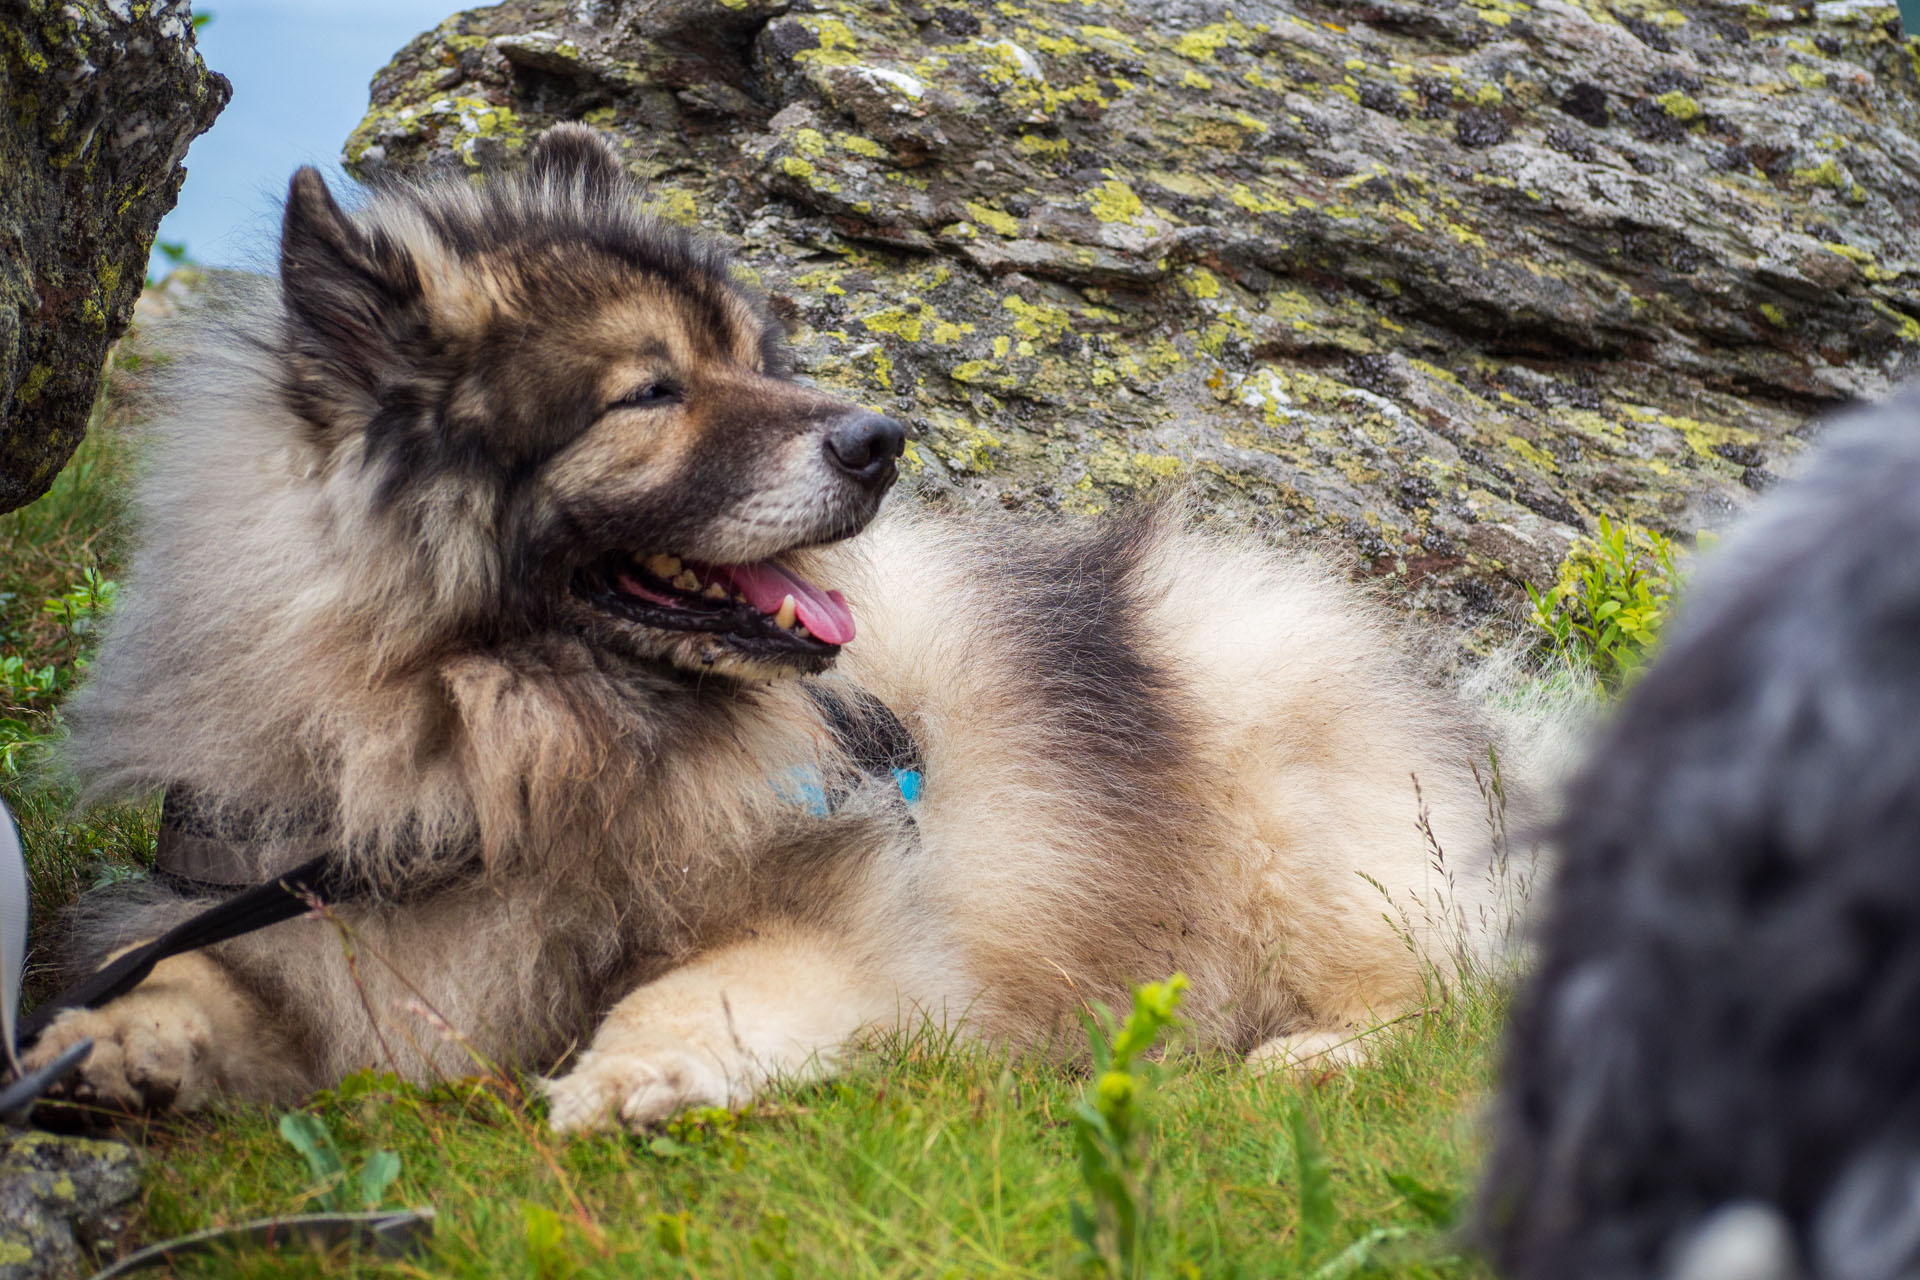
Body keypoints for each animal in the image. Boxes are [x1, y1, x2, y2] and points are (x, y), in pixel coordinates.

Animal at [30, 127, 1520, 1128]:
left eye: (756, 358)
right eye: (651, 392)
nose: (880, 441)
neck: (507, 727)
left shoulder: (842, 921)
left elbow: (683, 988)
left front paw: (629, 1075)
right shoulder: (285, 913)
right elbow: (186, 980)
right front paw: (99, 1045)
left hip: (1287, 817)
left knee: (1445, 996)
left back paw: (1313, 1055)